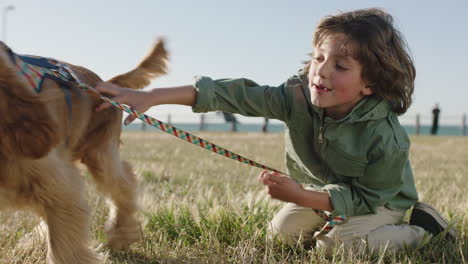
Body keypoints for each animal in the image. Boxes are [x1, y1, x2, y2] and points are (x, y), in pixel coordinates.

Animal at [0, 39, 168, 264]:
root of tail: (105, 83)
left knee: (124, 182)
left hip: (100, 154)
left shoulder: (59, 184)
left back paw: (120, 233)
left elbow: (64, 248)